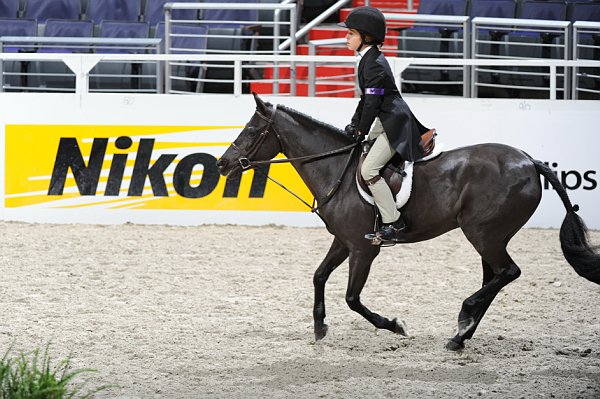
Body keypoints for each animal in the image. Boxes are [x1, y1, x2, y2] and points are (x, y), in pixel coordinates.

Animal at [217, 93, 600, 350]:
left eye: (251, 131)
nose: (222, 164)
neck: (338, 169)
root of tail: (529, 160)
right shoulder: (343, 241)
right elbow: (319, 276)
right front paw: (320, 327)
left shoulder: (364, 249)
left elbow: (352, 298)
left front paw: (394, 325)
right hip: (489, 237)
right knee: (494, 277)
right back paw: (460, 336)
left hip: (483, 234)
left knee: (508, 272)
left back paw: (463, 320)